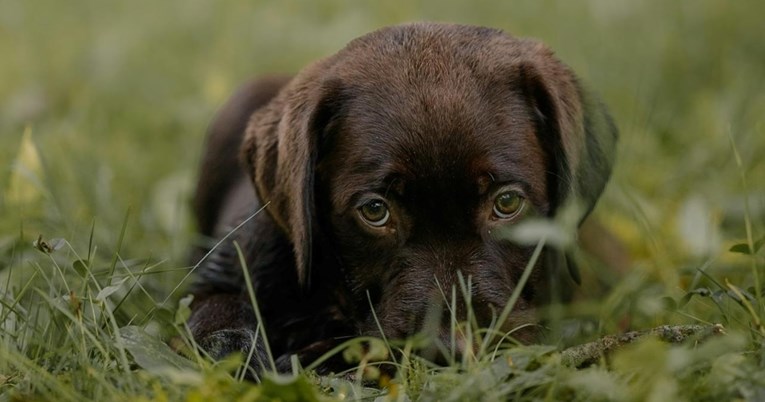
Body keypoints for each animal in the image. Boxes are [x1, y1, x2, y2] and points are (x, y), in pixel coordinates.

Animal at [188, 22, 616, 374]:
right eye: (375, 210)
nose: (450, 350)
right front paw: (245, 356)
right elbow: (217, 320)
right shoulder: (223, 274)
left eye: (507, 203)